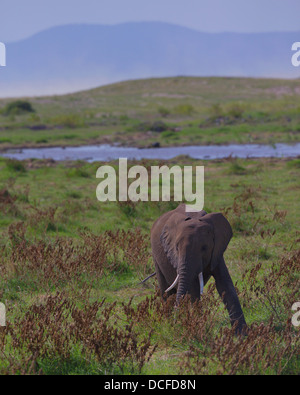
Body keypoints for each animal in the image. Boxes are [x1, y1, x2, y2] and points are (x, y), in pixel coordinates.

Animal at [151, 203, 247, 336]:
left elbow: (224, 284)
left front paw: (242, 335)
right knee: (166, 291)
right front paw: (198, 329)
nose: (176, 324)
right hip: (156, 258)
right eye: (176, 248)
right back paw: (168, 324)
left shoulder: (216, 251)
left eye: (204, 248)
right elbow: (193, 289)